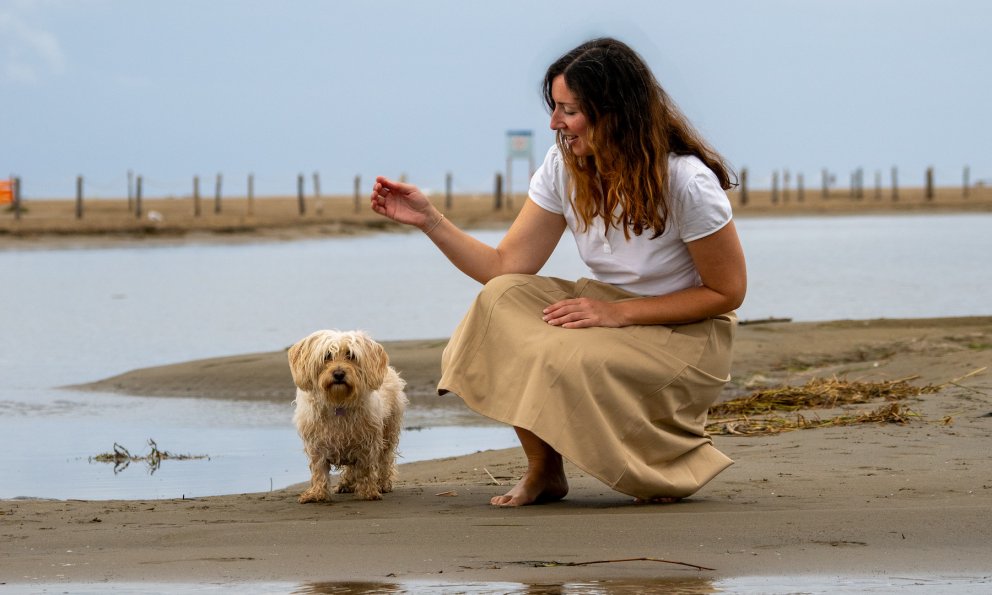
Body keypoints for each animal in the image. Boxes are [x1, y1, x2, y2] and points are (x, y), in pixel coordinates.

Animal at [286, 330, 406, 502]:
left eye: (351, 355)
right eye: (327, 355)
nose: (338, 374)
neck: (338, 402)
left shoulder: (367, 442)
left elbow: (365, 468)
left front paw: (368, 492)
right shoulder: (317, 445)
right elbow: (319, 470)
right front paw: (317, 494)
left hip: (388, 431)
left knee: (384, 458)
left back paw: (382, 483)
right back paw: (346, 484)